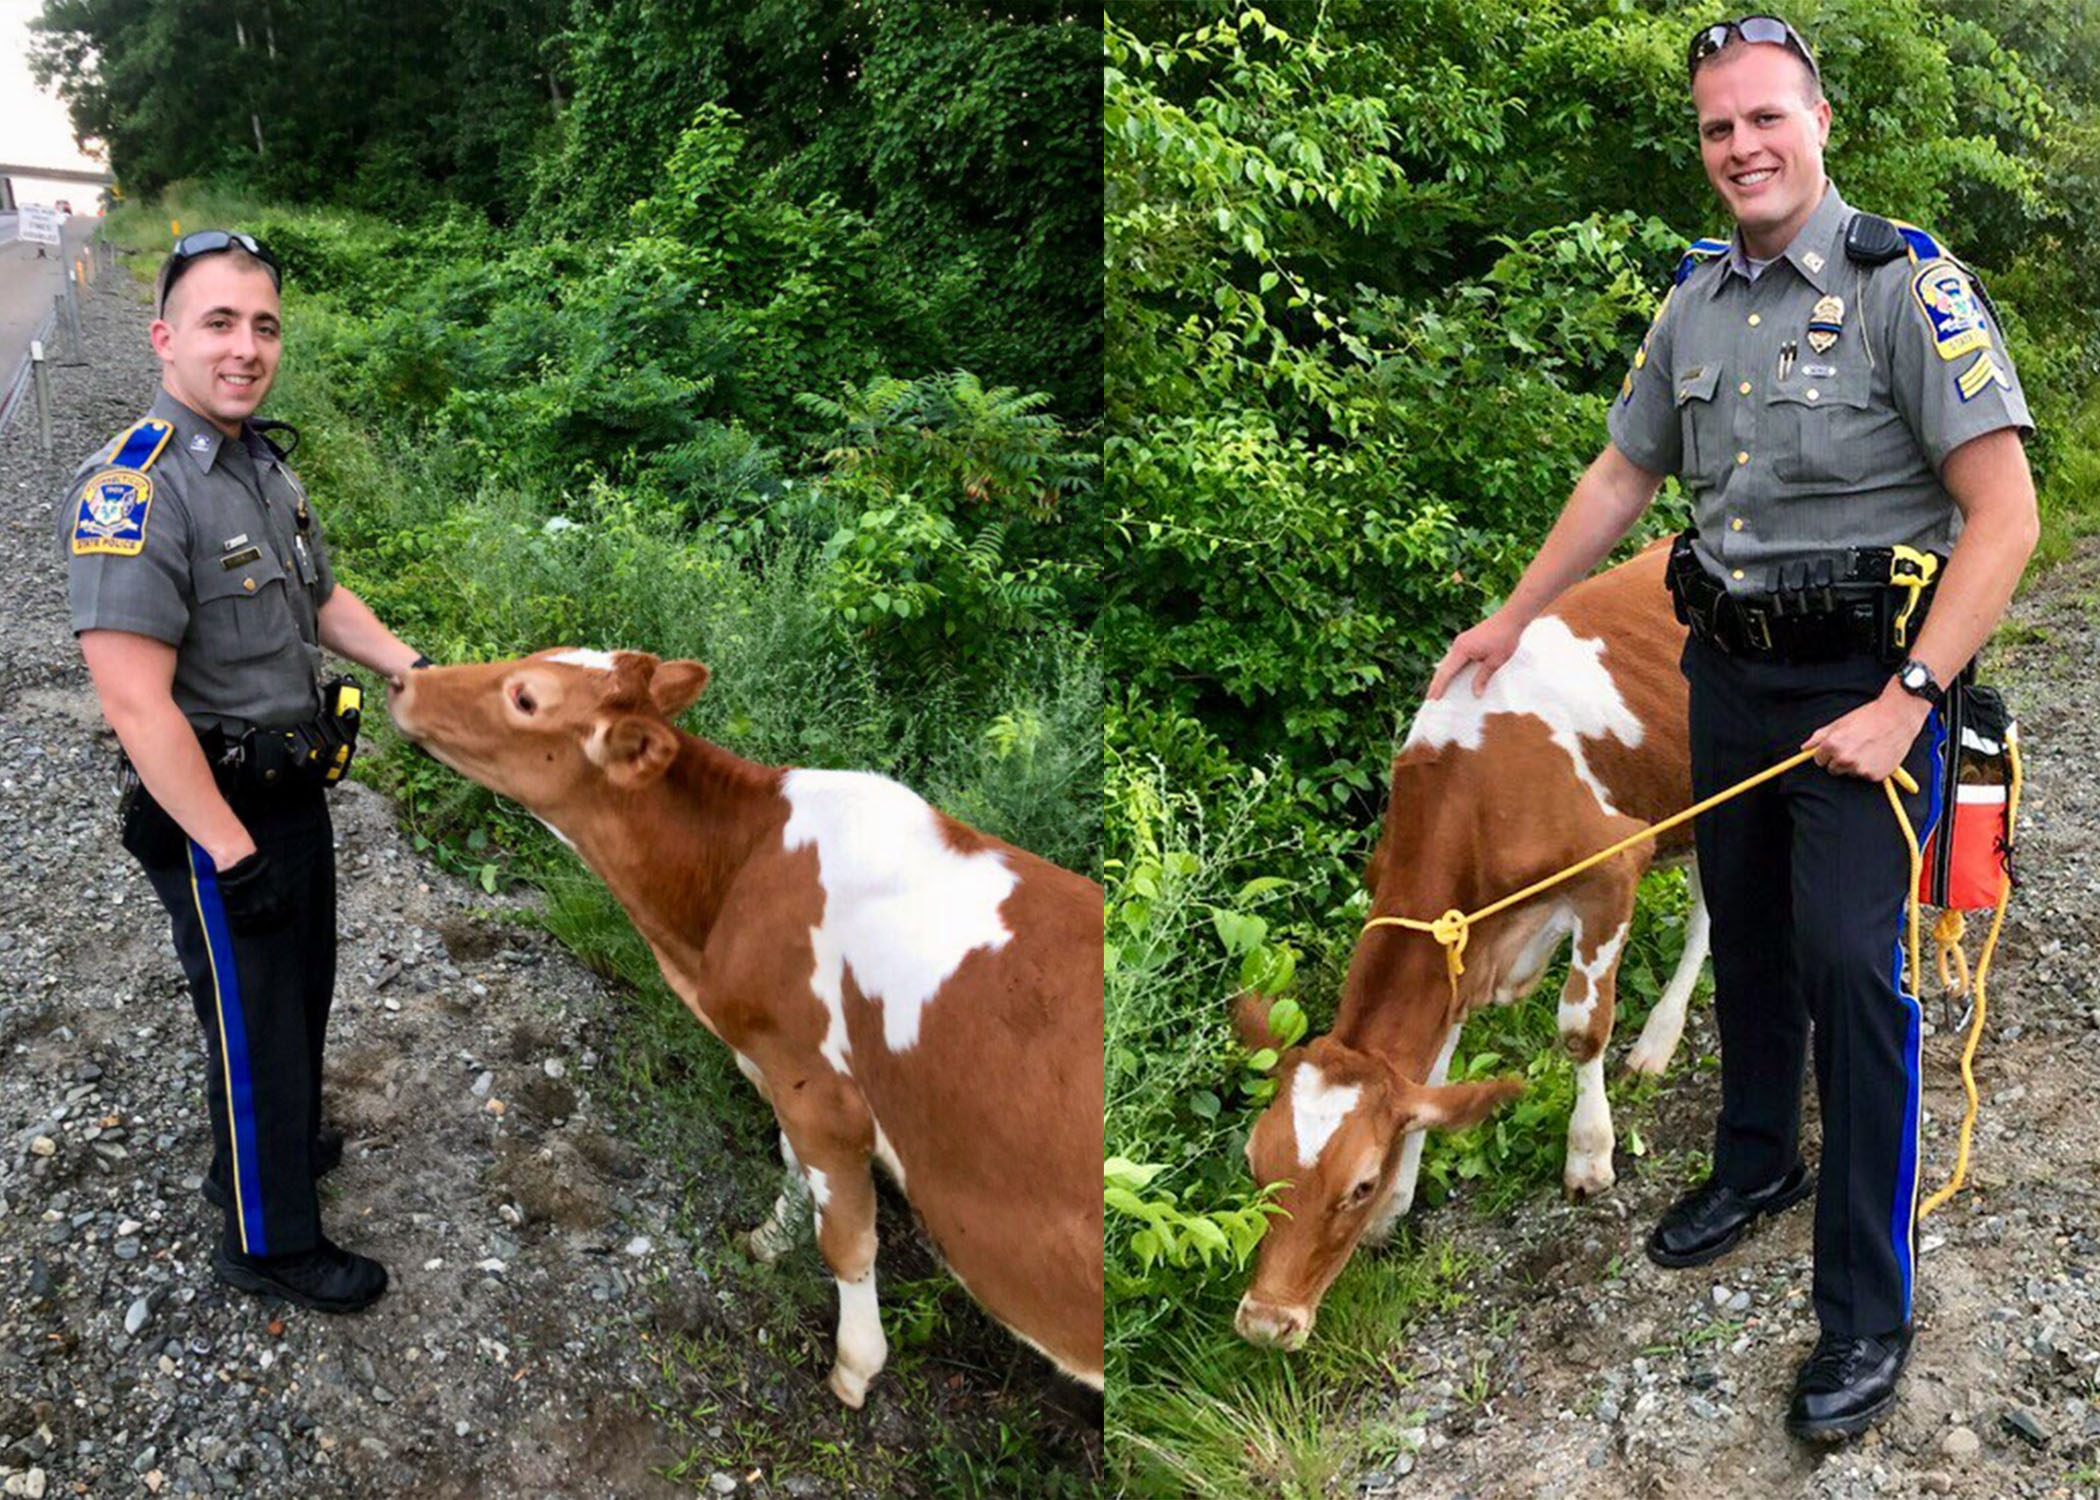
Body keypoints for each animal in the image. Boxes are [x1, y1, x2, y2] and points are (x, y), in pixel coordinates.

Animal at [387, 649, 1105, 1405]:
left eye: (525, 697)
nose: (405, 678)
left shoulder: (817, 1087)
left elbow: (846, 1237)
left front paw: (853, 1367)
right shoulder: (778, 1069)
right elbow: (793, 1168)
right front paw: (767, 1239)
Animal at [1233, 544, 1708, 1350]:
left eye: (1356, 1183)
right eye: (1254, 1166)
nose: (1267, 1323)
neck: (1472, 786)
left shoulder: (1615, 863)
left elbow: (1580, 1028)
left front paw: (1589, 1154)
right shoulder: (1459, 942)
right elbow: (1431, 1072)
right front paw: (1399, 1208)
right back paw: (1659, 1043)